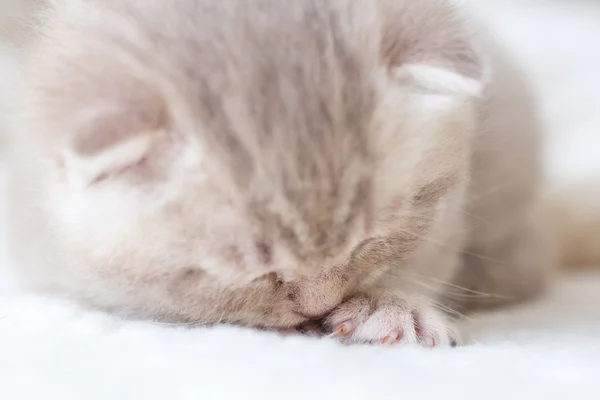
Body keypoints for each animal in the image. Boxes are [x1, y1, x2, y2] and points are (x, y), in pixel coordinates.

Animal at [5, 0, 556, 344]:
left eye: (368, 241)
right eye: (256, 273)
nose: (317, 306)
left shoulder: (448, 209)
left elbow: (426, 254)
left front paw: (391, 305)